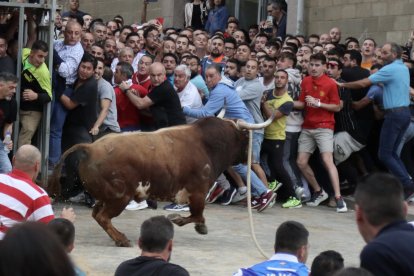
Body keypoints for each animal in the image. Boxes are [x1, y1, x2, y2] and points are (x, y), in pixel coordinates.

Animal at [48, 116, 272, 246]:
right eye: (246, 138)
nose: (253, 157)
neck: (207, 144)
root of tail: (91, 147)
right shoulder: (198, 192)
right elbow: (197, 215)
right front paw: (185, 222)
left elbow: (197, 215)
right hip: (119, 197)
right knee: (103, 217)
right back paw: (122, 240)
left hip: (106, 196)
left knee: (97, 215)